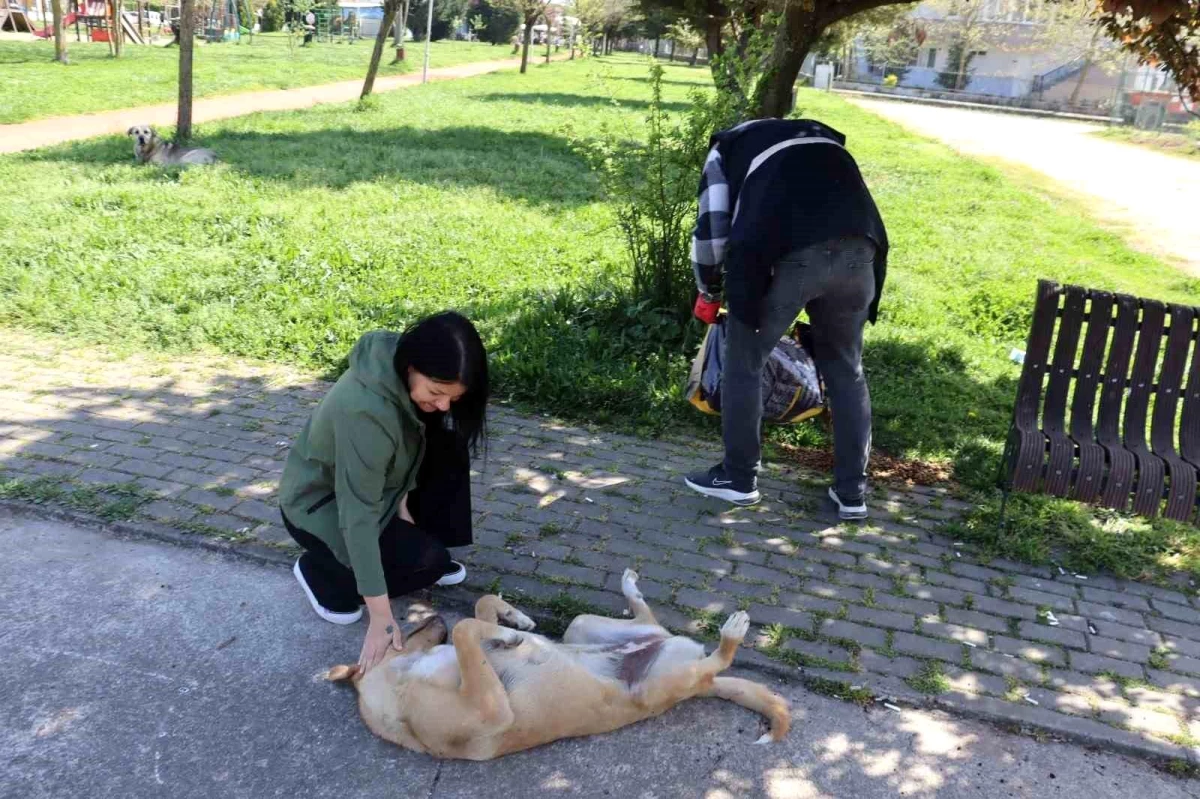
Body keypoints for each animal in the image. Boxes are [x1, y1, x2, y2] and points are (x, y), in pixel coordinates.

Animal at [326, 563, 787, 758]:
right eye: (397, 630)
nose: (434, 615)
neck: (402, 683)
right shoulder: (492, 709)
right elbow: (466, 629)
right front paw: (508, 632)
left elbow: (479, 608)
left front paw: (515, 619)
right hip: (661, 683)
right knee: (717, 660)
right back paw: (731, 634)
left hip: (581, 627)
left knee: (648, 619)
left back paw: (630, 588)